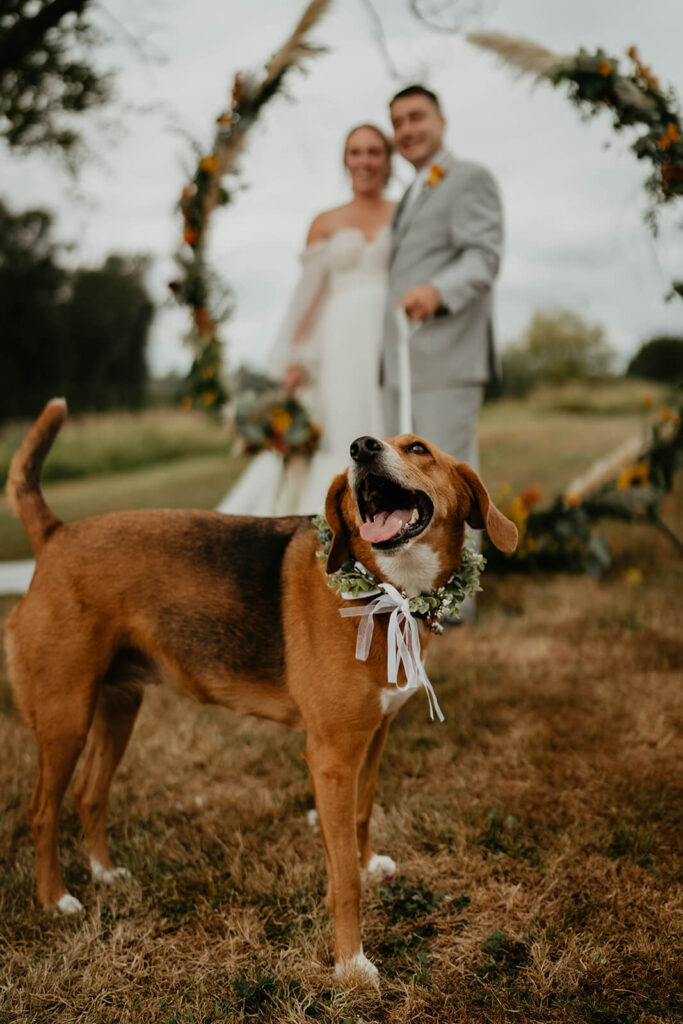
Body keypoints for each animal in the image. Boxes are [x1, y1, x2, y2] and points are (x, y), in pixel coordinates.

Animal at [6, 397, 518, 983]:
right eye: (359, 456)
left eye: (418, 448)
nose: (361, 448)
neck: (385, 593)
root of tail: (55, 535)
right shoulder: (332, 758)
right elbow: (342, 879)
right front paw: (350, 963)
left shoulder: (373, 738)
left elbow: (362, 817)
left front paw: (368, 864)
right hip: (65, 715)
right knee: (42, 810)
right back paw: (56, 899)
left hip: (119, 706)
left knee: (90, 794)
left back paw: (104, 873)